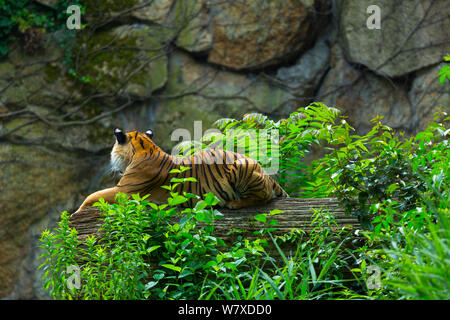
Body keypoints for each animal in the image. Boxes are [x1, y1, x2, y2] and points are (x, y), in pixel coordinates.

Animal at [72, 127, 286, 215]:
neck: (145, 148)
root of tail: (266, 173)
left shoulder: (124, 191)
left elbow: (93, 196)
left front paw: (75, 214)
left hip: (240, 167)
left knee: (264, 197)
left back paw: (234, 204)